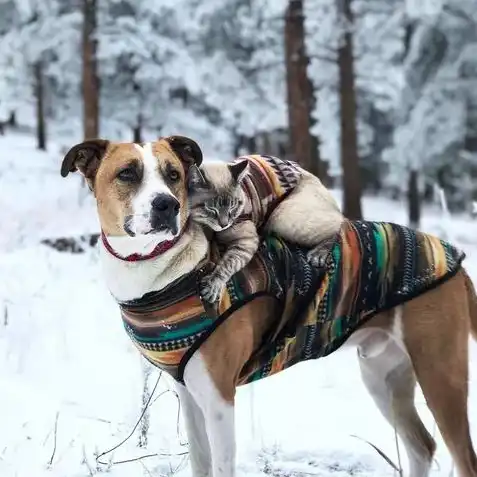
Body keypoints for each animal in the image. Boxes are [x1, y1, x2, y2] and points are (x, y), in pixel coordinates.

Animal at [188, 156, 344, 302]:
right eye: (211, 209)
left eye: (233, 206)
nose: (224, 224)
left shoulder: (245, 241)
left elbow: (227, 265)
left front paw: (211, 287)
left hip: (282, 217)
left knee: (340, 223)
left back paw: (318, 255)